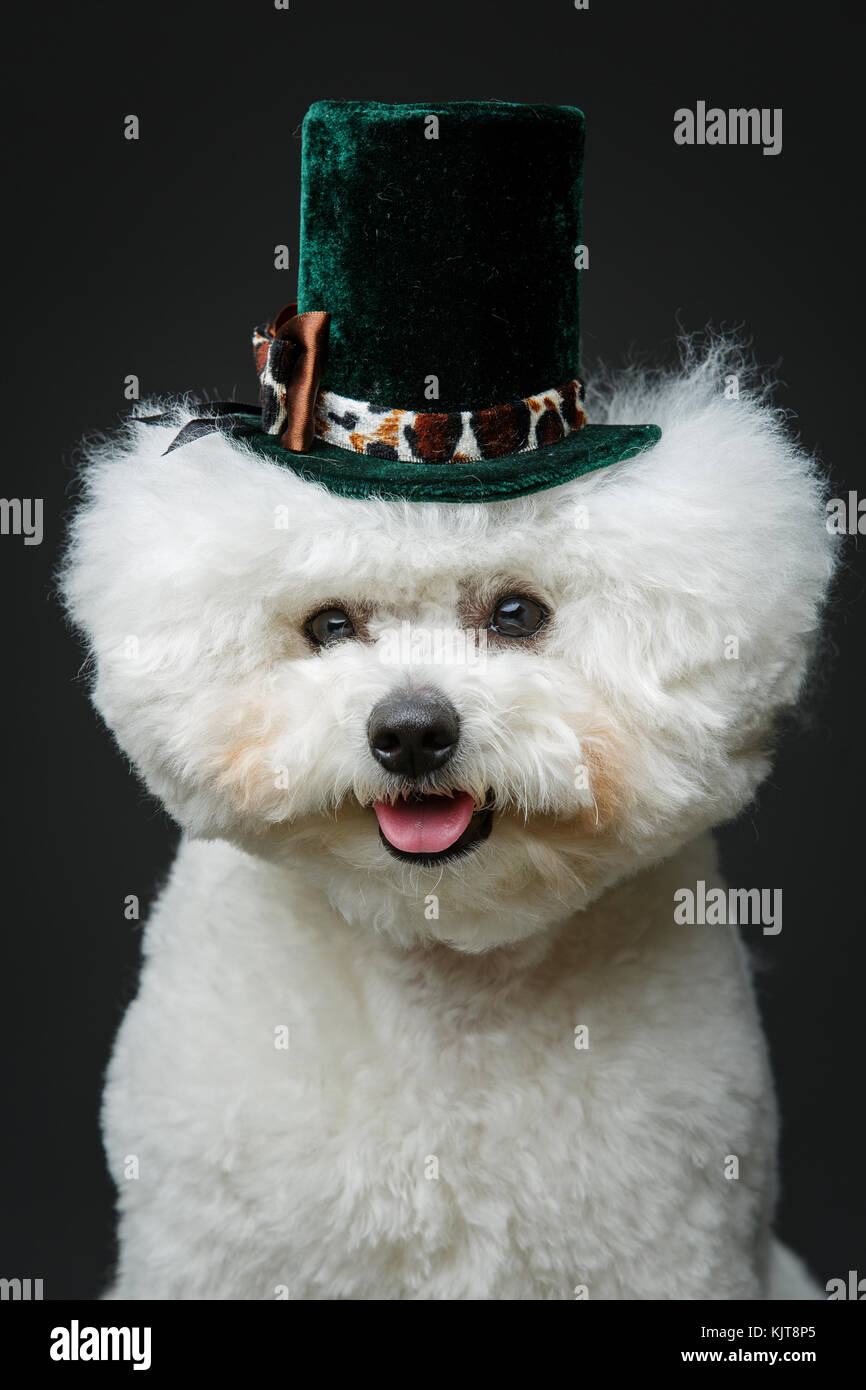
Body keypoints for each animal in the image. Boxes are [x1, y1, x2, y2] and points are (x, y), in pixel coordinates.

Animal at [61, 341, 834, 1295]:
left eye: (516, 614)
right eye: (329, 625)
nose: (410, 731)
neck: (443, 988)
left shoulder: (669, 1247)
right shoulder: (210, 1252)